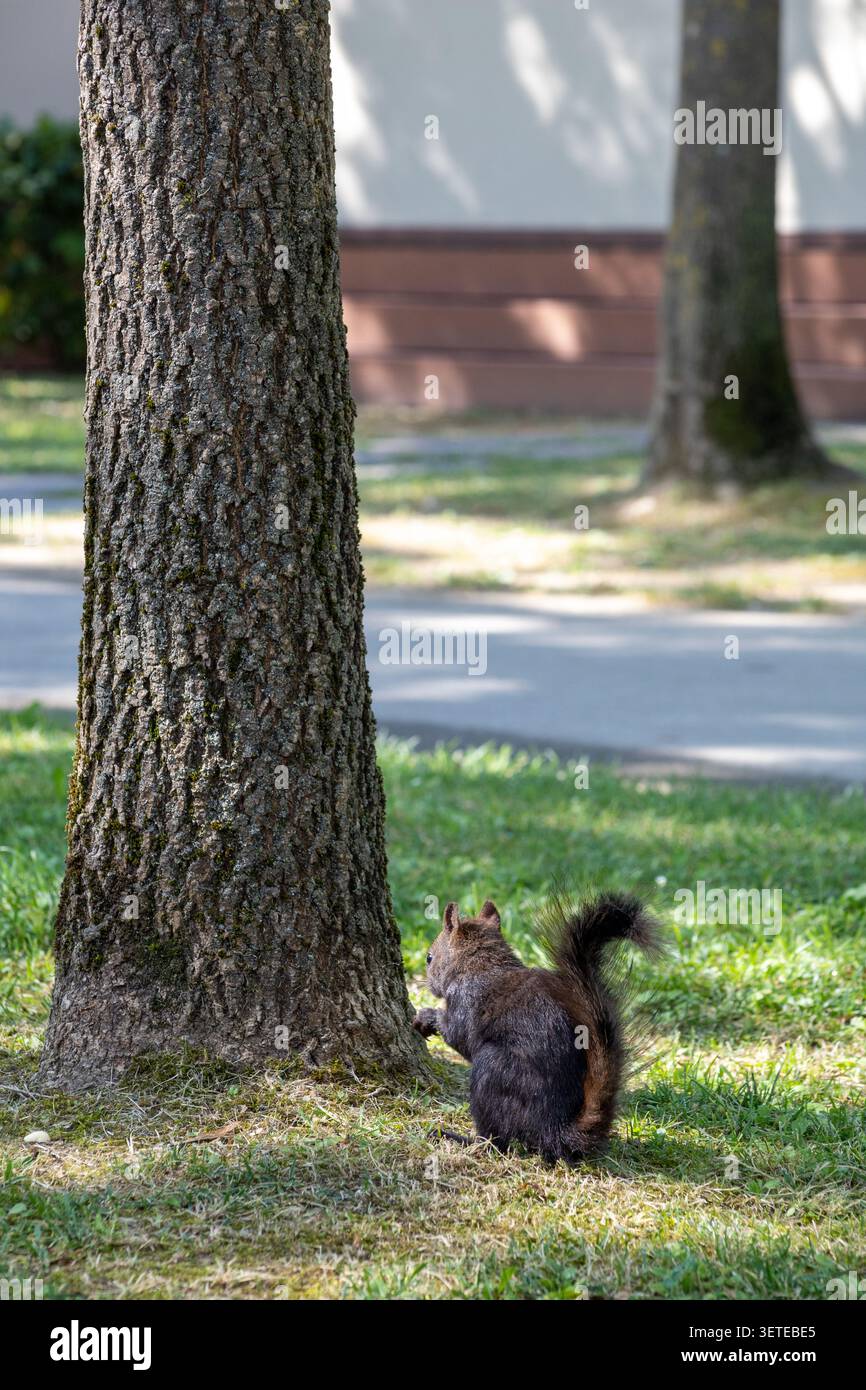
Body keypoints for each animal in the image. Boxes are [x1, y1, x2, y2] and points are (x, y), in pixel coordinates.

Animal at [413, 892, 659, 1163]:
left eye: (429, 958)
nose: (429, 985)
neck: (481, 963)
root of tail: (555, 1130)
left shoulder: (465, 1001)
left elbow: (459, 1037)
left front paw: (427, 1016)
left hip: (493, 1069)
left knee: (497, 1142)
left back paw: (460, 1139)